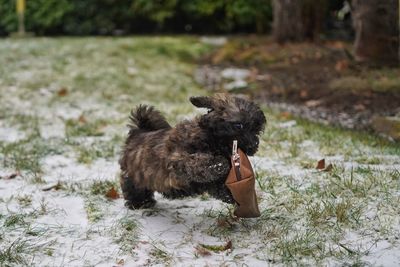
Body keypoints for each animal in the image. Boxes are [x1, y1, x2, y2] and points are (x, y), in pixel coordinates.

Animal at [120, 93, 268, 209]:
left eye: (257, 130)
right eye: (239, 125)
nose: (253, 145)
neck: (213, 140)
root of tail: (139, 131)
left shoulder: (208, 182)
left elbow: (218, 184)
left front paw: (233, 196)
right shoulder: (177, 159)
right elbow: (197, 161)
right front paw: (217, 164)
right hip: (134, 175)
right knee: (132, 186)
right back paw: (140, 203)